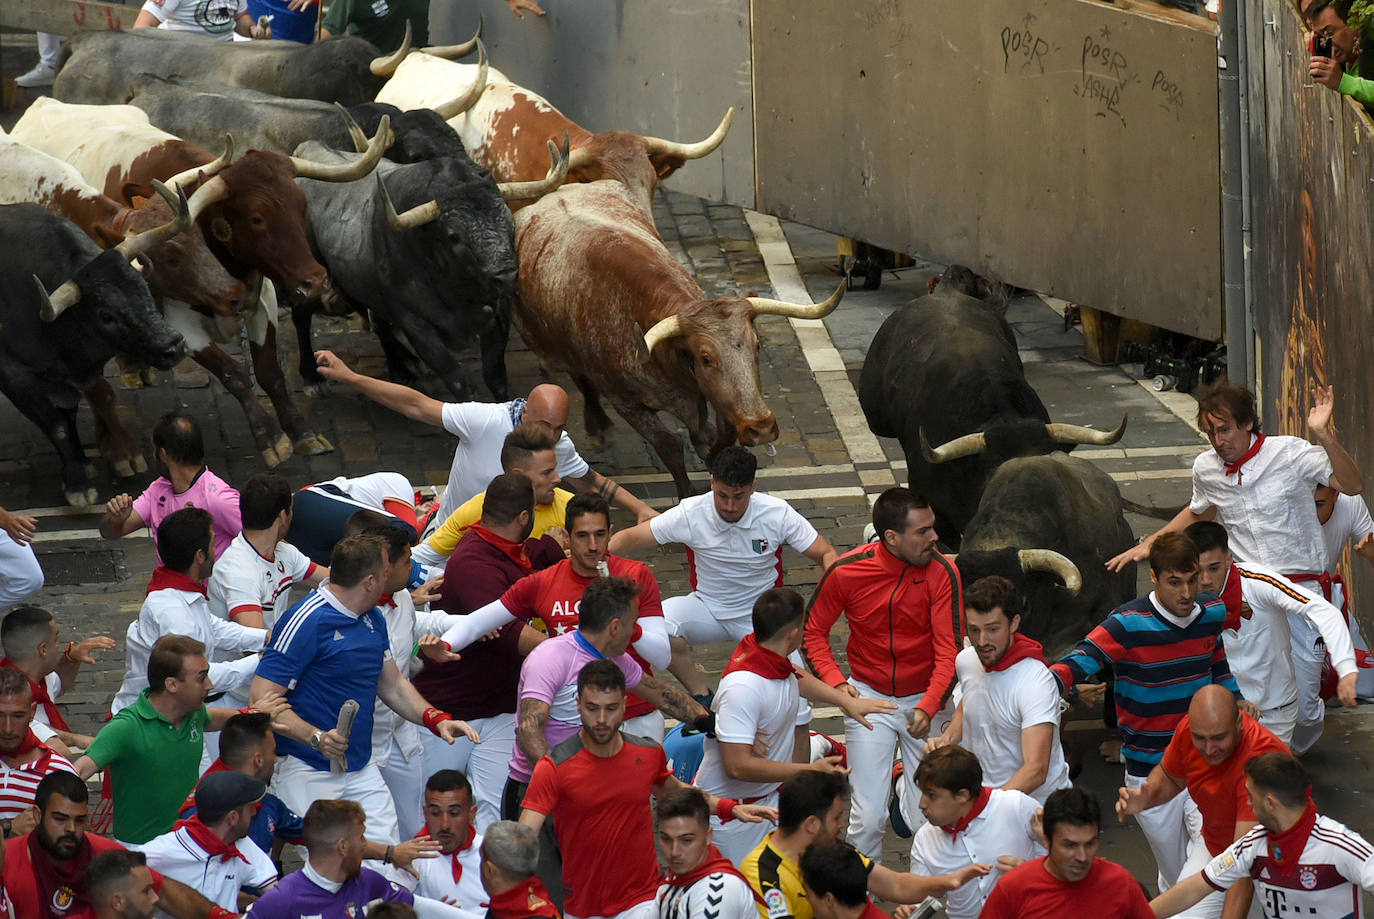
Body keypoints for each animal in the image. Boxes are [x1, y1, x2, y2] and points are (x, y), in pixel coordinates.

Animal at [0, 200, 188, 505]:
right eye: (105, 315)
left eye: (145, 288)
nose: (173, 346)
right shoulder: (15, 375)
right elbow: (56, 424)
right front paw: (78, 484)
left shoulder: (65, 381)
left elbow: (68, 417)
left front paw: (80, 465)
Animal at [13, 98, 390, 467]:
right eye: (257, 219)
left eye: (302, 205)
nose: (316, 281)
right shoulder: (178, 326)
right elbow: (233, 373)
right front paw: (271, 437)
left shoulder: (264, 302)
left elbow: (270, 372)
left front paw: (302, 432)